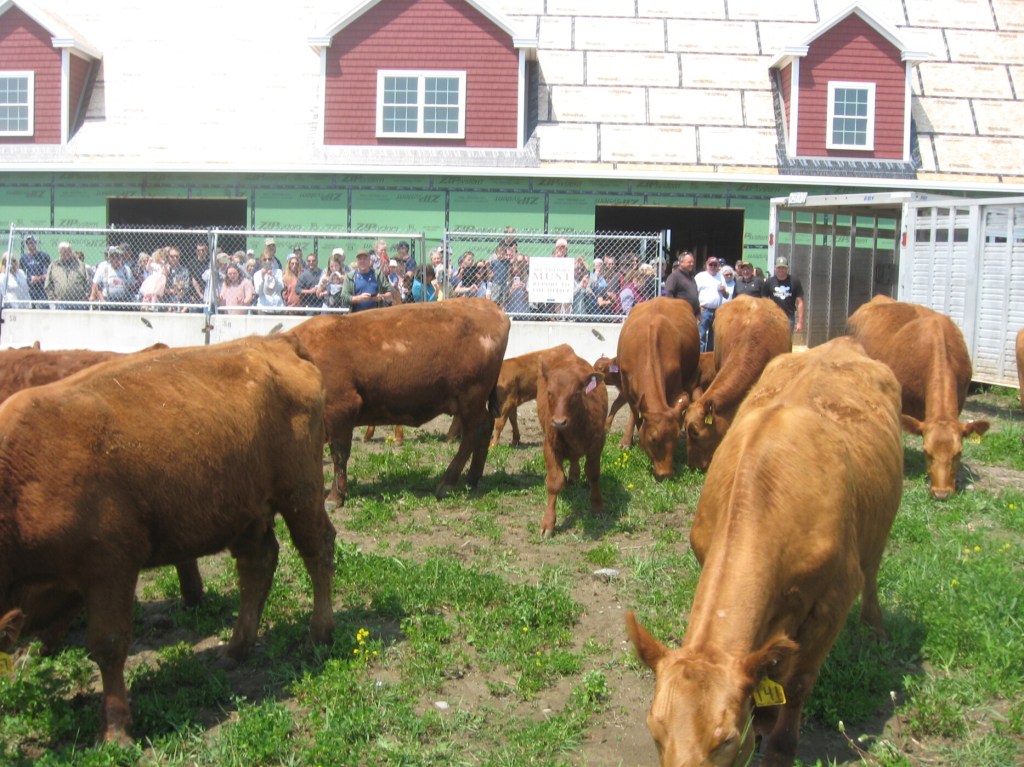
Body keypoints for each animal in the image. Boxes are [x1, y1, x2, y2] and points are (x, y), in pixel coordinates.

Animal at [0, 335, 336, 744]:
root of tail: (275, 341)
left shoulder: (110, 570)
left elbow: (108, 644)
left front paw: (116, 731)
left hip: (300, 494)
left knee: (317, 550)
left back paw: (318, 634)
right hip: (246, 512)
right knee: (258, 565)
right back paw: (235, 649)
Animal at [288, 298, 509, 505]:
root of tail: (493, 308)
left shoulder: (340, 410)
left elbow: (339, 455)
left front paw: (335, 496)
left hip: (471, 398)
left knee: (473, 434)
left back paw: (448, 483)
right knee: (485, 426)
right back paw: (472, 479)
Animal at [537, 347, 608, 538]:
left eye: (576, 394)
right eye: (549, 393)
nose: (559, 422)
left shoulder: (597, 444)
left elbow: (593, 473)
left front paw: (597, 506)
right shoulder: (549, 446)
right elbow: (555, 481)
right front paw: (548, 523)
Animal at [616, 297, 701, 480]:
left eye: (675, 439)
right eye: (653, 439)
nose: (666, 474)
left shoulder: (675, 390)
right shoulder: (627, 389)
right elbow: (637, 416)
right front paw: (640, 445)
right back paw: (626, 442)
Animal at [627, 337, 903, 767]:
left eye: (724, 739)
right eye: (655, 730)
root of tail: (840, 342)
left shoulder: (834, 600)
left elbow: (800, 680)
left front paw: (780, 747)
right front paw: (763, 719)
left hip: (879, 526)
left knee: (872, 569)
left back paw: (875, 627)